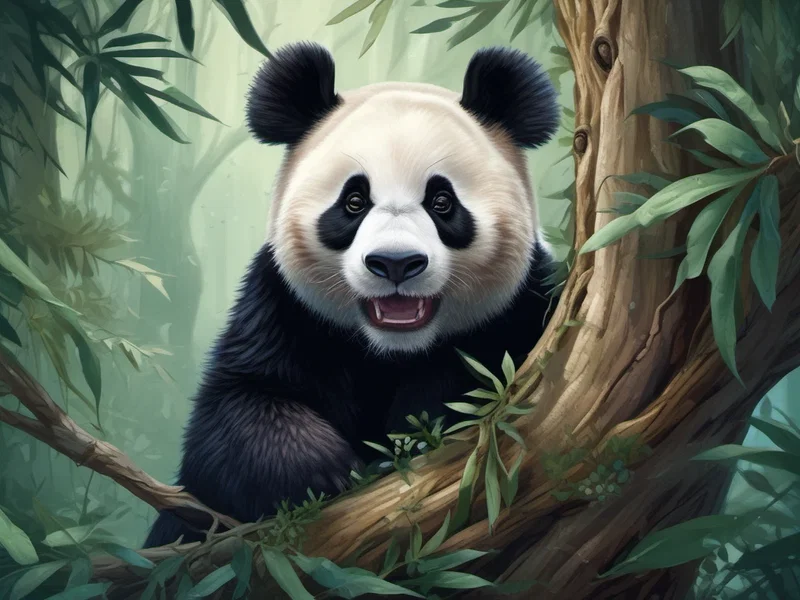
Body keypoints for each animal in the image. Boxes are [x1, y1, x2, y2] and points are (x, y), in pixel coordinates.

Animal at [144, 41, 560, 547]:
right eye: (354, 201)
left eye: (442, 202)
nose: (396, 263)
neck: (392, 350)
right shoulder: (283, 309)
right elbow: (232, 415)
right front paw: (329, 472)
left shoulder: (523, 308)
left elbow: (484, 376)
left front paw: (413, 432)